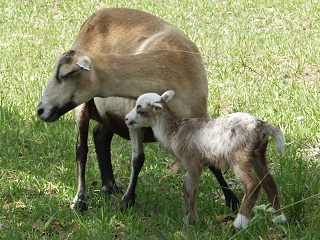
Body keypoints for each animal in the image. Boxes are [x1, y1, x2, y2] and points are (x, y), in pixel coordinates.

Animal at [37, 7, 239, 210]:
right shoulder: (133, 119)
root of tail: (95, 15)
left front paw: (232, 201)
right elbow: (137, 159)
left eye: (65, 74)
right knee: (81, 149)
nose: (40, 110)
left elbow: (211, 160)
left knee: (100, 136)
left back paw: (110, 186)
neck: (170, 64)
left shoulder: (199, 115)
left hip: (110, 115)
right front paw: (127, 201)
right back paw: (81, 199)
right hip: (85, 107)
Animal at [124, 90, 286, 229]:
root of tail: (261, 125)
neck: (174, 132)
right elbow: (187, 188)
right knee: (269, 182)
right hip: (258, 155)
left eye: (140, 110)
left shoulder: (192, 161)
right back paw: (279, 218)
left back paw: (239, 223)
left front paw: (191, 221)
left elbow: (189, 188)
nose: (126, 119)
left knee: (253, 185)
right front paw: (189, 217)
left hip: (239, 157)